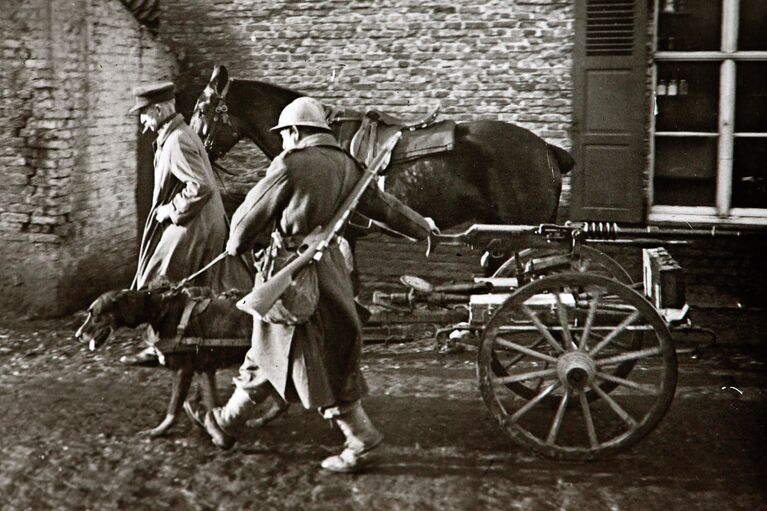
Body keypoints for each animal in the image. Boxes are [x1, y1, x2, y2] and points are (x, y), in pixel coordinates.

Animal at [76, 286, 288, 438]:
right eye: (89, 313)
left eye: (96, 315)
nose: (78, 335)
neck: (159, 311)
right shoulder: (205, 370)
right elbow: (211, 402)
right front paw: (215, 428)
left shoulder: (183, 370)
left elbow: (174, 408)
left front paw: (158, 431)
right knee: (281, 402)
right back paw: (260, 421)